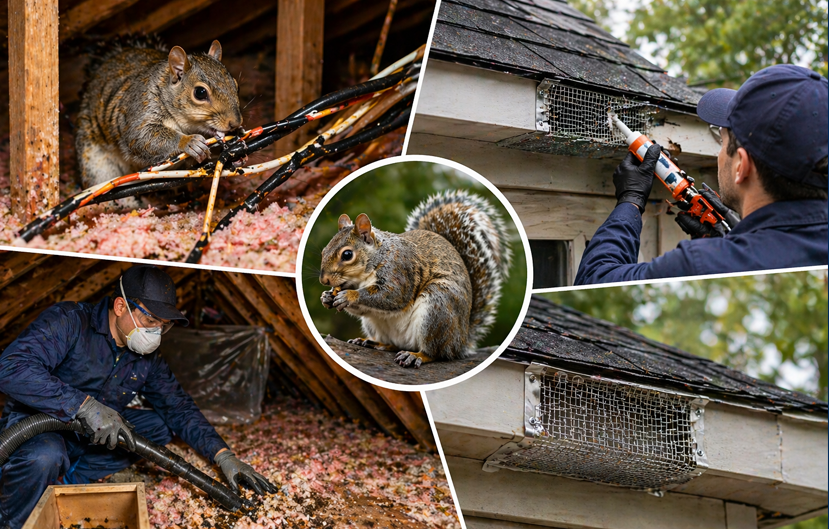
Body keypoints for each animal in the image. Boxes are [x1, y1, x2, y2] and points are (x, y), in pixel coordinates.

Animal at [75, 35, 243, 190]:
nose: (235, 123)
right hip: (94, 164)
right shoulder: (140, 109)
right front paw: (189, 142)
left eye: (236, 84)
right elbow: (141, 137)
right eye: (200, 93)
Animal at [319, 190, 512, 368]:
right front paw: (327, 297)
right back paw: (373, 342)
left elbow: (391, 297)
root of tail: (461, 340)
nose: (324, 280)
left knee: (436, 352)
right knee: (393, 344)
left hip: (437, 306)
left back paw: (416, 356)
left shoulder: (400, 272)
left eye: (347, 254)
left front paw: (349, 295)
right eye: (323, 251)